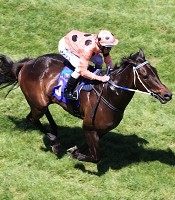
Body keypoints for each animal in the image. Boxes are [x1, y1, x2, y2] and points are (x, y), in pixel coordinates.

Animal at [0, 49, 172, 163]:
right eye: (145, 76)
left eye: (155, 71)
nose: (167, 95)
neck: (110, 93)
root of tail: (27, 63)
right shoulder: (88, 126)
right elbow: (96, 157)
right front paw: (75, 154)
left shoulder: (102, 129)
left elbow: (87, 147)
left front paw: (74, 150)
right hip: (38, 104)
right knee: (32, 119)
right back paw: (54, 142)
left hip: (42, 102)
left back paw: (54, 131)